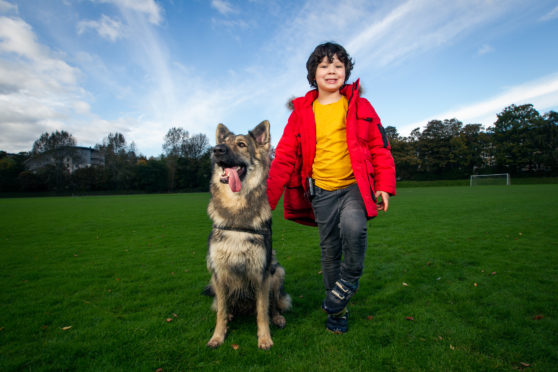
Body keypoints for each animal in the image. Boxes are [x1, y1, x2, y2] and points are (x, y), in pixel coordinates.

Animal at [207, 121, 294, 348]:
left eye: (241, 144)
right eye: (223, 142)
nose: (216, 150)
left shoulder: (261, 274)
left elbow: (262, 311)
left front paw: (264, 338)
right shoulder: (219, 272)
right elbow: (221, 311)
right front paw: (218, 336)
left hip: (276, 271)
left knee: (273, 306)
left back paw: (278, 318)